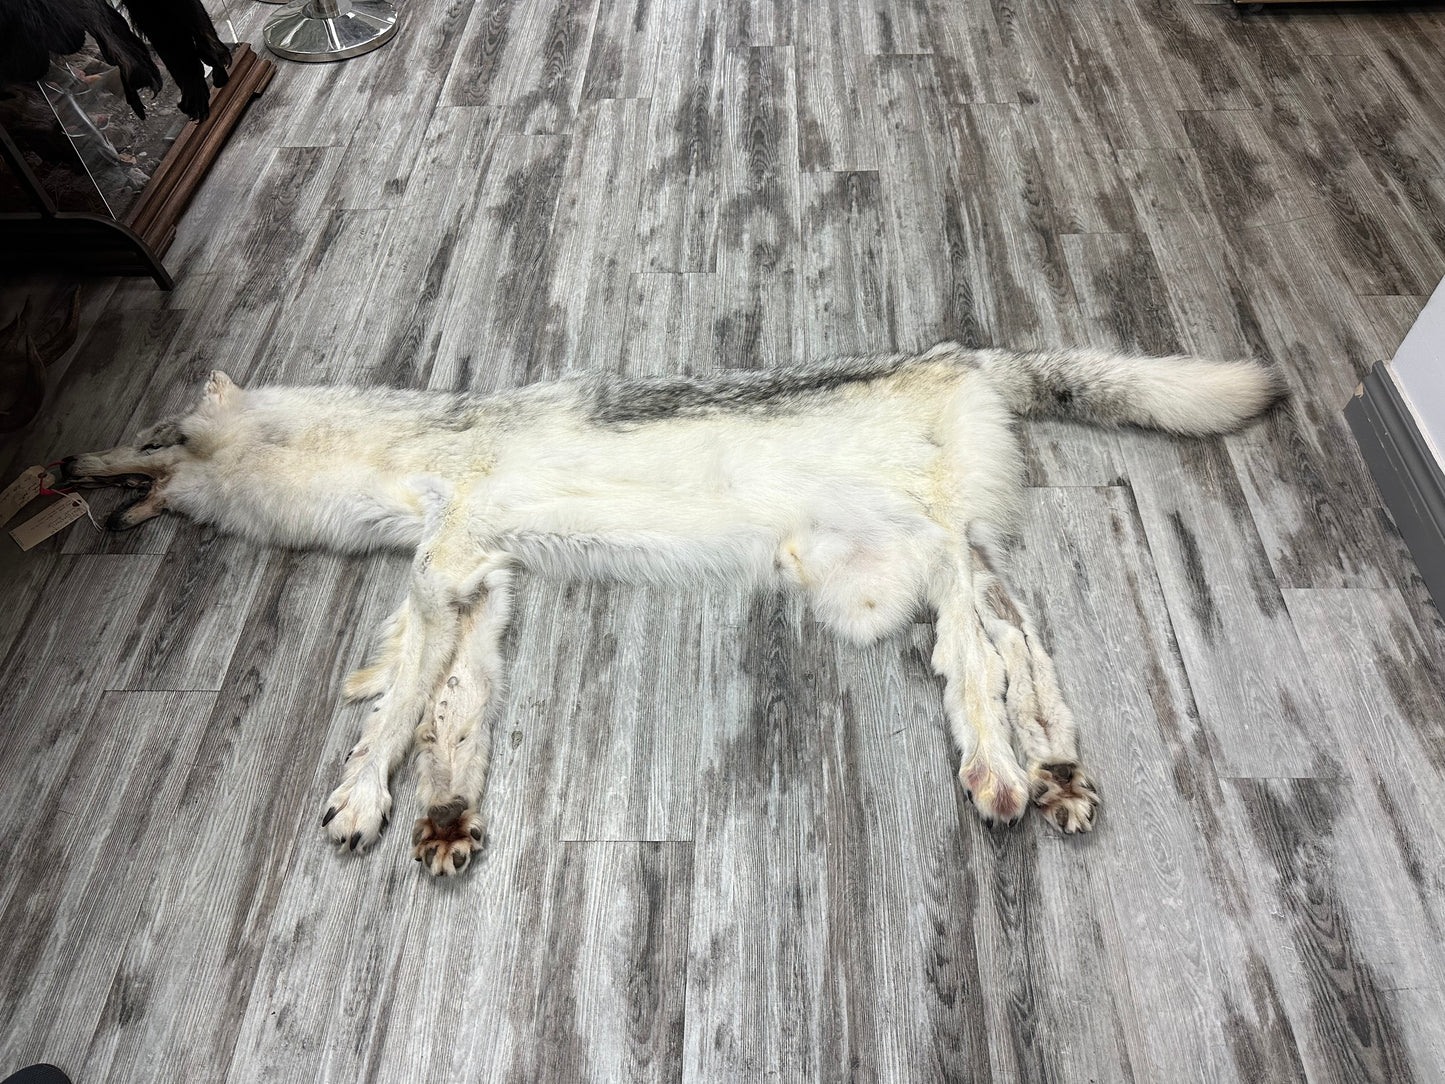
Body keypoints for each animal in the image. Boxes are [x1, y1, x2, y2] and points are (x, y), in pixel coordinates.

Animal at [58, 343, 1281, 876]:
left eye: (165, 435)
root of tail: (973, 355)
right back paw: (1056, 775)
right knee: (1022, 646)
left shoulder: (444, 569)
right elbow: (442, 712)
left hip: (910, 559)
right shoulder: (477, 587)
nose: (69, 462)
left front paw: (363, 797)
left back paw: (1000, 771)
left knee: (979, 663)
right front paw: (429, 814)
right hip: (891, 574)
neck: (410, 458)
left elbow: (397, 708)